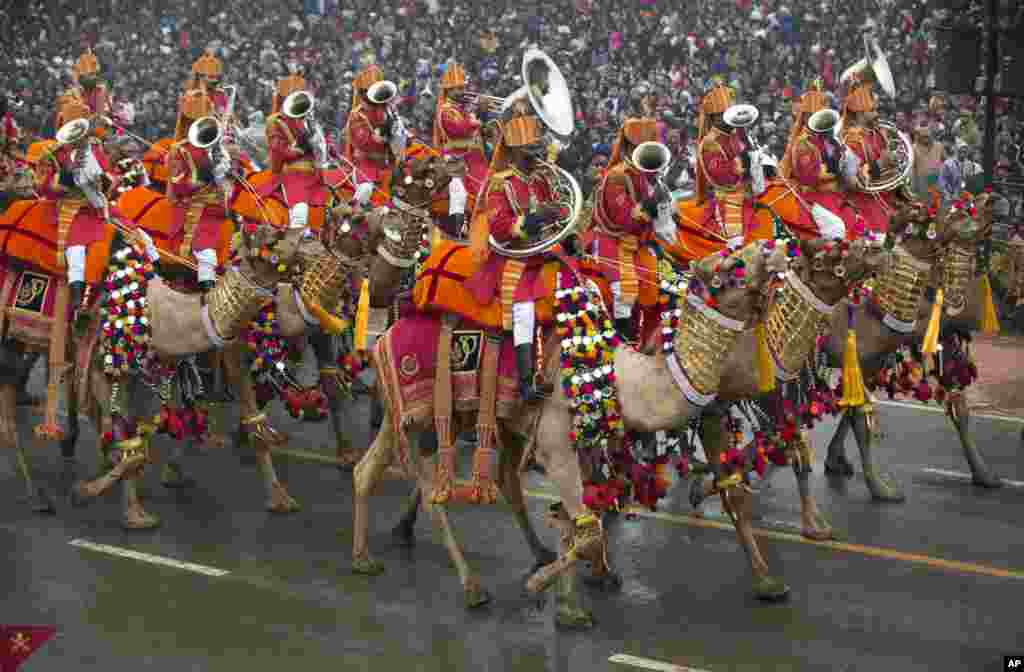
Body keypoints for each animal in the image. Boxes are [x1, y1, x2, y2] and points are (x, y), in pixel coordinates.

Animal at [350, 239, 790, 622]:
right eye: (732, 264)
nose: (776, 251)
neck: (618, 378)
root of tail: (383, 337)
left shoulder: (574, 444)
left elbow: (573, 524)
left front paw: (571, 602)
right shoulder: (556, 443)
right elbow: (587, 529)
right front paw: (544, 591)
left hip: (432, 415)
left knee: (372, 471)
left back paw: (365, 558)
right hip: (420, 412)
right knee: (431, 492)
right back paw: (471, 587)